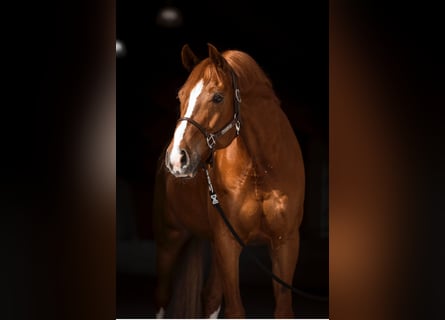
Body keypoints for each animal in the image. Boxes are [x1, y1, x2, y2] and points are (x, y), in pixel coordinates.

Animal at [153, 43, 306, 318]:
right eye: (180, 96)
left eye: (218, 98)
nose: (176, 159)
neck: (261, 171)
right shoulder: (228, 242)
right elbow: (235, 309)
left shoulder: (286, 242)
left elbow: (283, 308)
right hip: (170, 238)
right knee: (162, 296)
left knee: (210, 296)